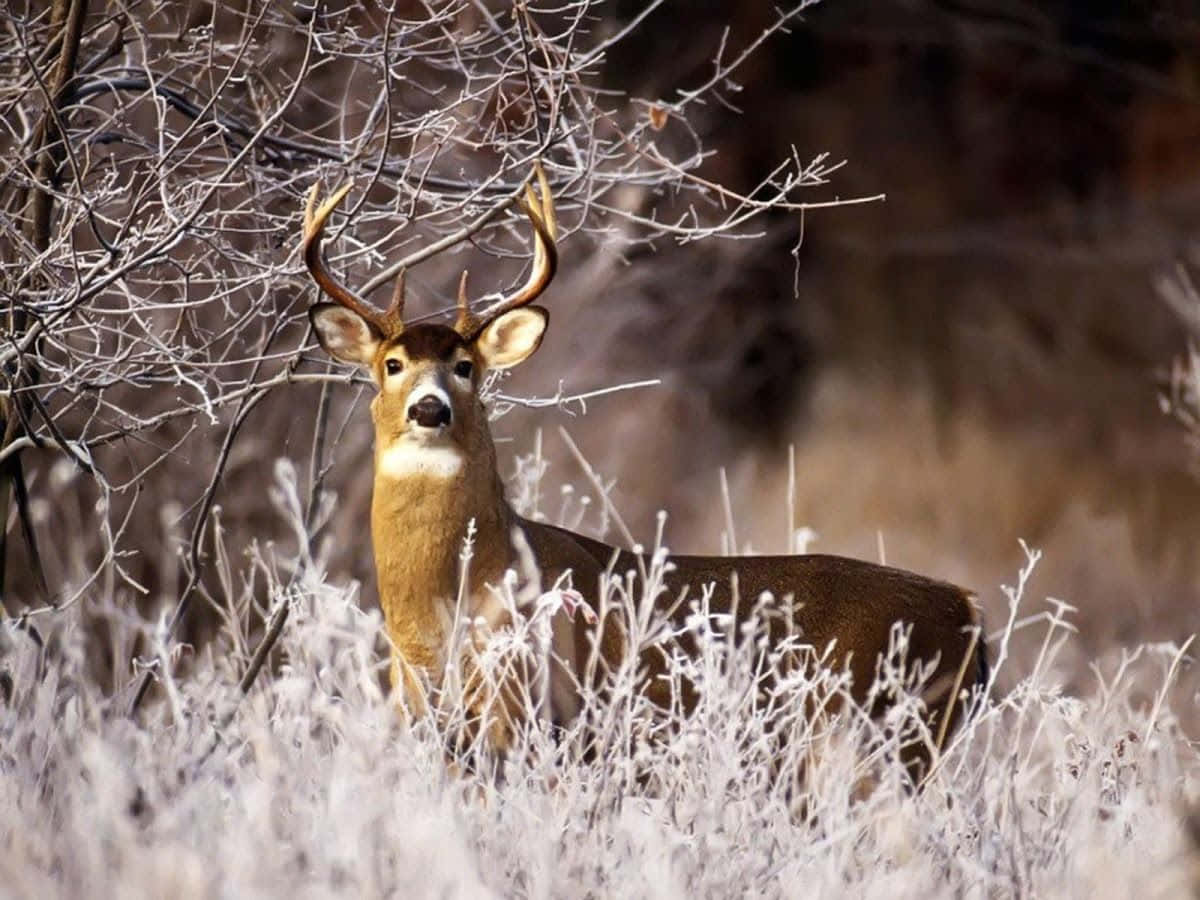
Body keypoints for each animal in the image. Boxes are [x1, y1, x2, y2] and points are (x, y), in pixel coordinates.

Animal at [300, 165, 984, 787]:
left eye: (465, 367)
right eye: (392, 364)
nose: (429, 408)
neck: (441, 612)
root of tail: (968, 612)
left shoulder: (531, 717)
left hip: (877, 738)